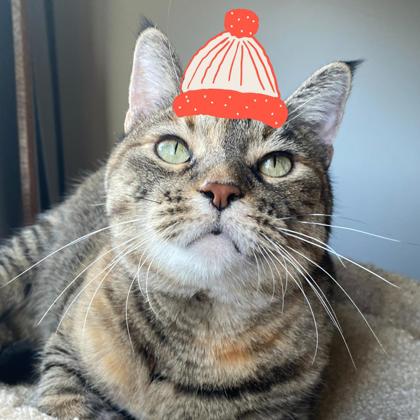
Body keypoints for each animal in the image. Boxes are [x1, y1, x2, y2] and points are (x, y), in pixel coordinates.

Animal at [0, 23, 358, 419]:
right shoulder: (64, 350)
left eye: (276, 164)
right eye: (173, 148)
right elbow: (67, 403)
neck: (205, 332)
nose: (220, 190)